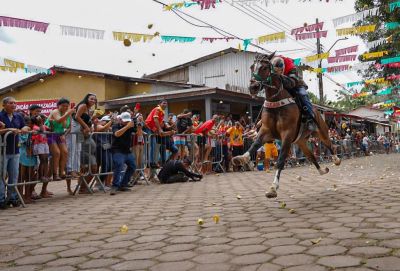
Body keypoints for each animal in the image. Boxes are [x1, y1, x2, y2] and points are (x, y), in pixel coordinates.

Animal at [231, 53, 340, 199]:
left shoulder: (287, 134)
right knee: (311, 156)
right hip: (301, 141)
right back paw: (322, 170)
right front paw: (241, 158)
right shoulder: (266, 131)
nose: (253, 87)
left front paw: (273, 188)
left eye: (264, 67)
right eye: (252, 67)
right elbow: (255, 144)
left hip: (321, 131)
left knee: (329, 144)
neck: (276, 101)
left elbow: (281, 159)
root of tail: (317, 112)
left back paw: (336, 159)